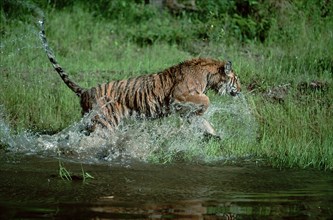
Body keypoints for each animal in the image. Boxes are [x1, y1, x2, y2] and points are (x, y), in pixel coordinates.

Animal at [38, 18, 239, 137]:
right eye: (237, 80)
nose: (241, 89)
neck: (208, 75)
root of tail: (86, 91)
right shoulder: (180, 95)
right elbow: (205, 101)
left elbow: (202, 121)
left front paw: (214, 135)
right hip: (104, 123)